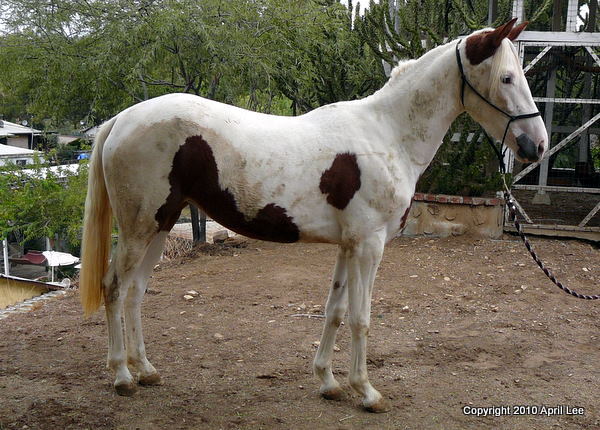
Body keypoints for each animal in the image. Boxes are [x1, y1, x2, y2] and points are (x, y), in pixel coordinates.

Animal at [81, 21, 548, 414]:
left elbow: (334, 311)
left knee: (136, 292)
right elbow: (361, 318)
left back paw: (145, 370)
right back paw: (122, 375)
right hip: (139, 228)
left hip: (159, 225)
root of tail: (122, 119)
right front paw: (367, 392)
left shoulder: (348, 245)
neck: (387, 134)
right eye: (507, 78)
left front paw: (328, 382)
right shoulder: (369, 245)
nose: (537, 146)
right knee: (115, 288)